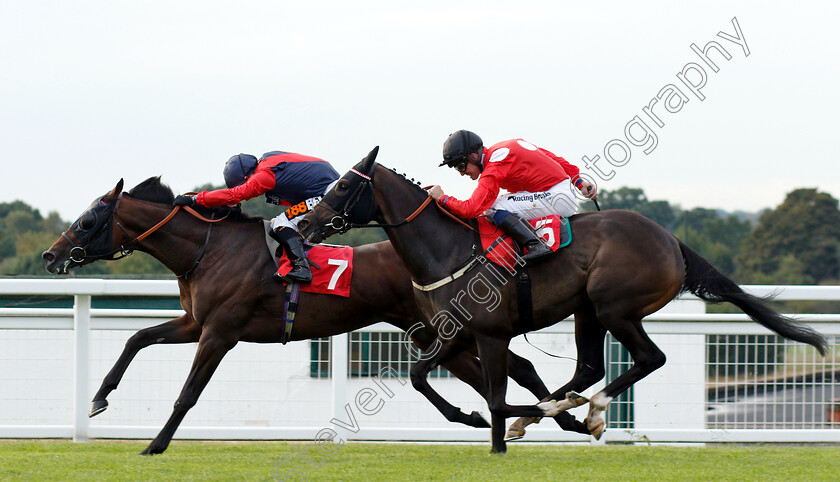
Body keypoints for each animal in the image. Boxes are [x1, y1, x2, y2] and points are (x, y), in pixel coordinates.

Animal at [41, 178, 592, 456]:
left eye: (87, 221)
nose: (50, 256)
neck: (208, 249)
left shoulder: (220, 332)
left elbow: (188, 392)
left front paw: (155, 445)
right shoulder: (195, 323)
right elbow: (136, 337)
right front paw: (98, 399)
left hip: (437, 330)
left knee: (504, 370)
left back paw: (547, 418)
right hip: (435, 332)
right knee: (505, 371)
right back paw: (542, 418)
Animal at [296, 147, 828, 452]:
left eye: (345, 184)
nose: (304, 224)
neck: (447, 249)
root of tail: (671, 239)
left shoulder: (490, 334)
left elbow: (493, 393)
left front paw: (497, 435)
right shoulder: (452, 334)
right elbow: (420, 377)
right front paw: (475, 419)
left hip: (614, 306)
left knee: (646, 358)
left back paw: (582, 411)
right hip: (587, 311)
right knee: (589, 368)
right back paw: (557, 408)